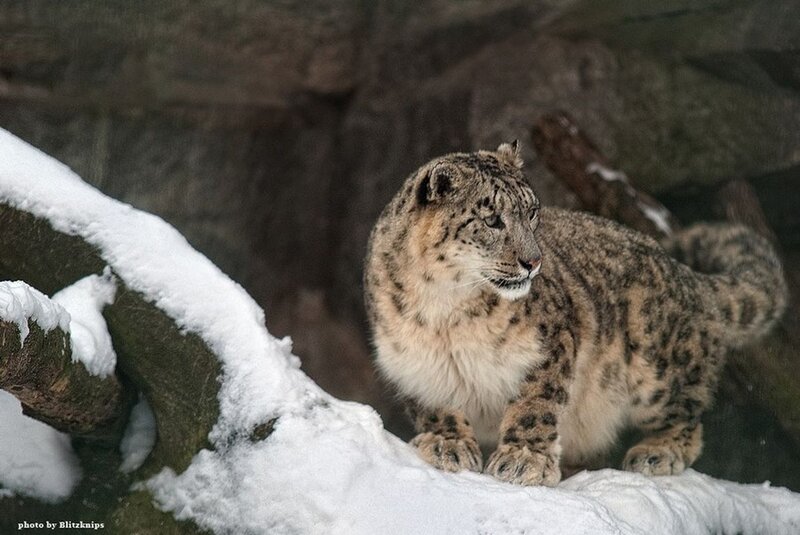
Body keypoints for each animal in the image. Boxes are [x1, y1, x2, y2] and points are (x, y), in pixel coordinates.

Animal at [363, 142, 788, 486]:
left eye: (532, 212)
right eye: (492, 219)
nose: (533, 261)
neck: (444, 310)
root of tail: (688, 276)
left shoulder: (550, 343)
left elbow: (535, 404)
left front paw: (524, 461)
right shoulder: (413, 364)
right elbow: (435, 407)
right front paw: (447, 445)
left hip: (657, 371)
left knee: (688, 416)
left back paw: (657, 452)